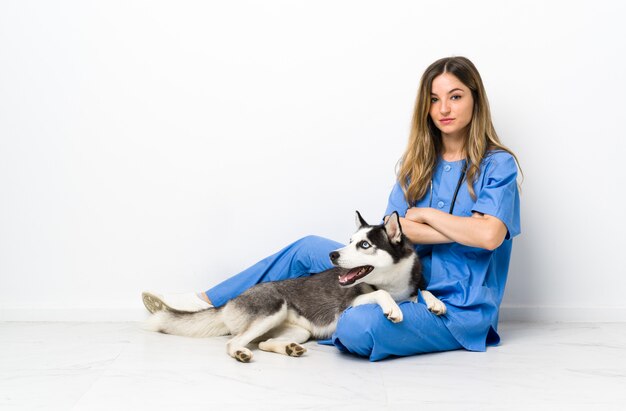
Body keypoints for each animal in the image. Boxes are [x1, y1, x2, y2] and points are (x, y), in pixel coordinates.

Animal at [144, 212, 446, 364]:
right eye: (349, 241)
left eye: (364, 245)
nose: (332, 255)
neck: (393, 282)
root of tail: (230, 301)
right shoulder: (347, 307)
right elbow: (380, 294)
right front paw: (393, 309)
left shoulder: (409, 290)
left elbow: (422, 292)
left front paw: (436, 302)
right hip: (272, 308)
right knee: (234, 341)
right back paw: (241, 353)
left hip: (300, 330)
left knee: (264, 342)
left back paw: (289, 349)